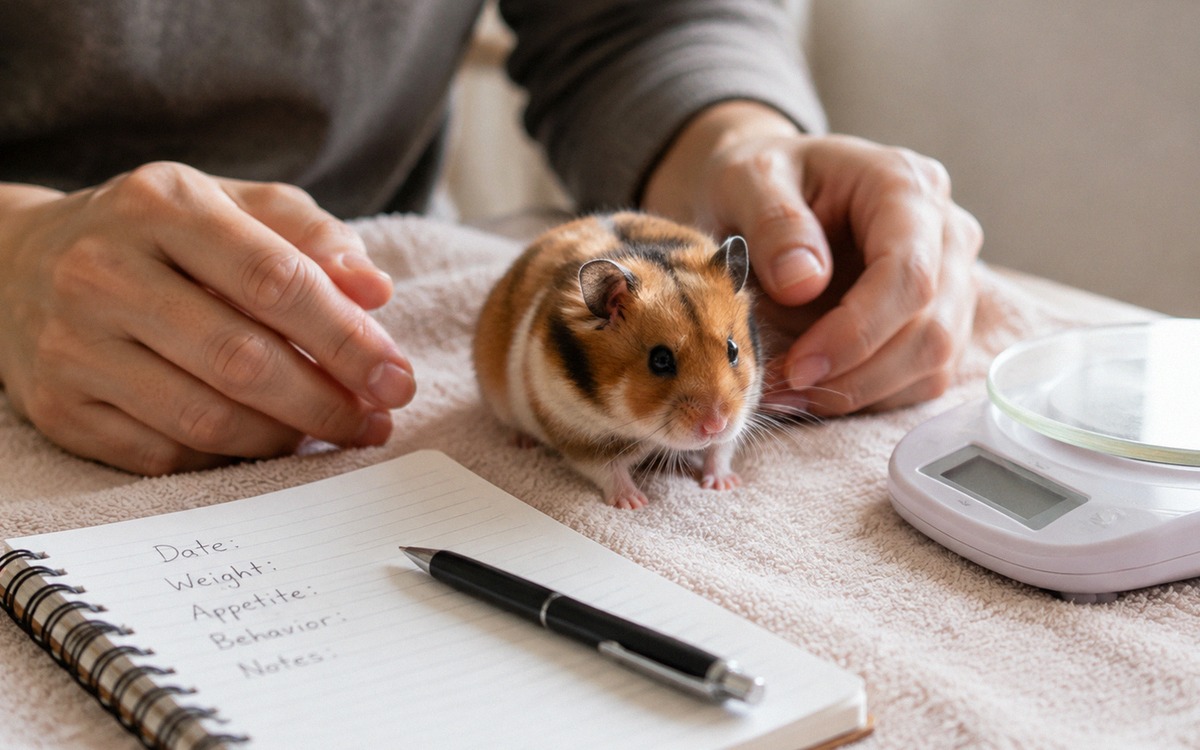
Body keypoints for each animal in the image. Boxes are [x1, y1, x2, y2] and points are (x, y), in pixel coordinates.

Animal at [472, 211, 762, 509]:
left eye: (733, 349)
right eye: (660, 360)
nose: (716, 425)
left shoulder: (744, 405)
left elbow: (720, 450)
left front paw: (725, 485)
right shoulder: (579, 434)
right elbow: (608, 471)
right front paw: (634, 503)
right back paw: (522, 442)